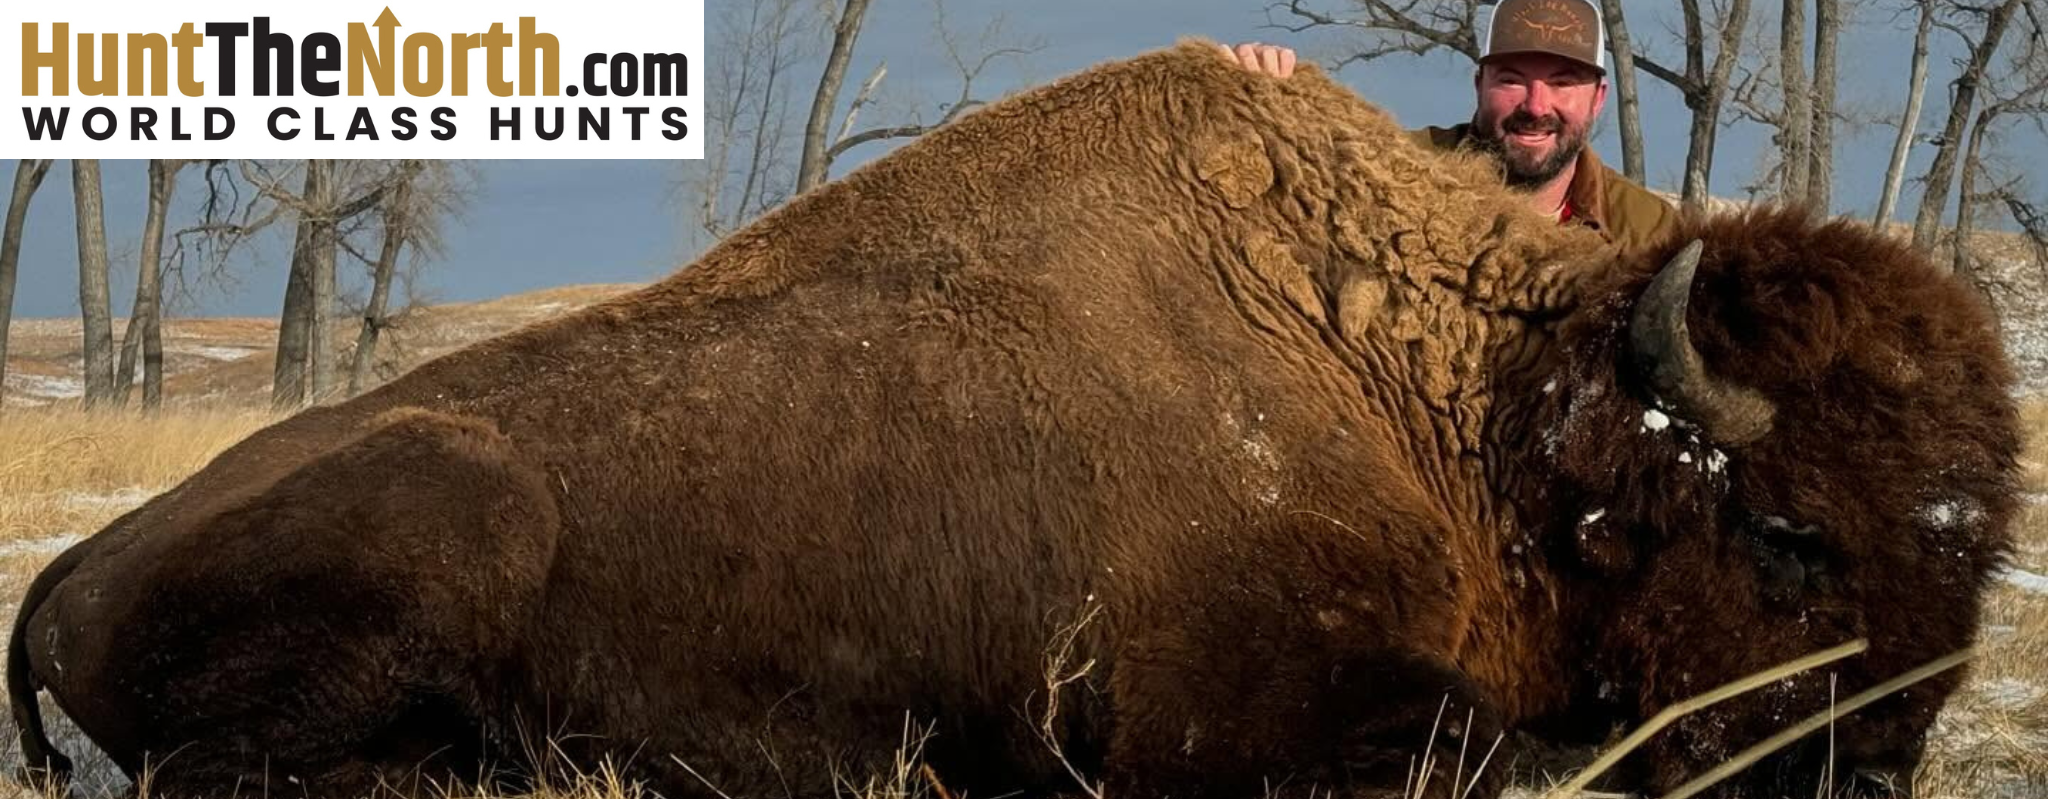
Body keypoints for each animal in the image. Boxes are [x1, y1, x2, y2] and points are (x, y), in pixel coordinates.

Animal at [8, 41, 2022, 799]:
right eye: (1789, 531)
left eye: (1983, 547)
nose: (1871, 775)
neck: (1481, 420)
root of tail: (69, 572)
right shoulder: (1226, 714)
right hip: (458, 512)